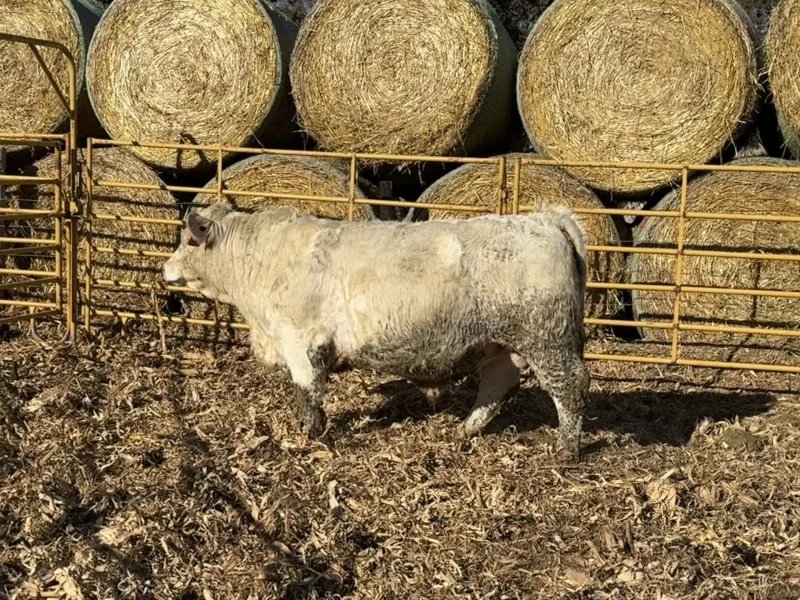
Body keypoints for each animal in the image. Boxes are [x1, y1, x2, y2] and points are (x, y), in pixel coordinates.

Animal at [163, 202, 590, 461]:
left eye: (188, 240)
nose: (165, 268)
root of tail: (543, 219)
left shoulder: (300, 341)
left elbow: (308, 392)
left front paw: (309, 434)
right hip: (498, 344)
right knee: (498, 385)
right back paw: (464, 431)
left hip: (546, 340)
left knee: (570, 387)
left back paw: (566, 449)